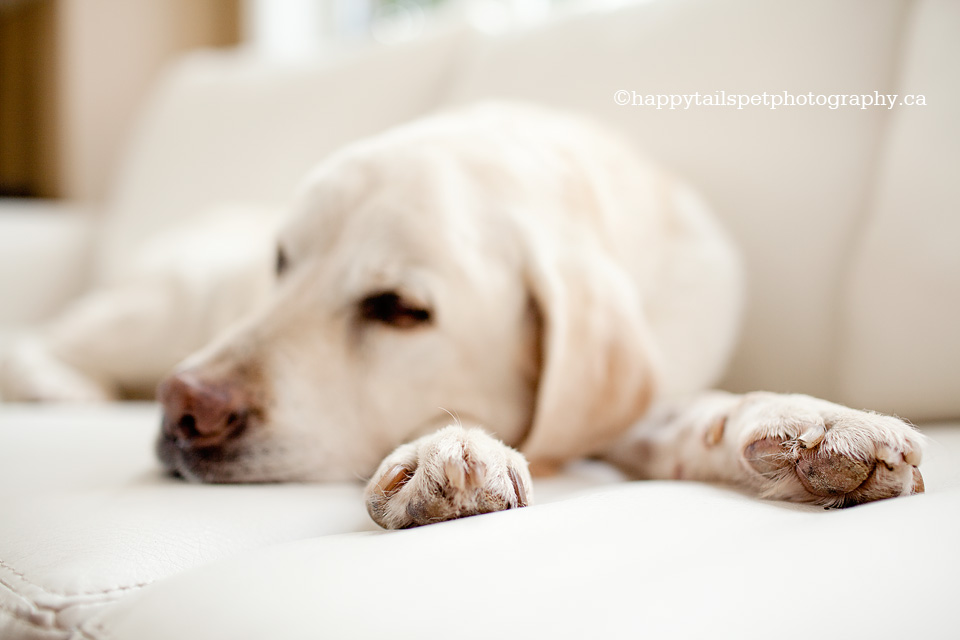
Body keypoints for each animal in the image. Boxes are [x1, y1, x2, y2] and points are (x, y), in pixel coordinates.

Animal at [0, 102, 924, 528]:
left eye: (398, 310)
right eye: (283, 263)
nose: (183, 407)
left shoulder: (649, 393)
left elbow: (709, 412)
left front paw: (817, 429)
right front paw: (448, 452)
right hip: (162, 310)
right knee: (45, 336)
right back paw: (57, 383)